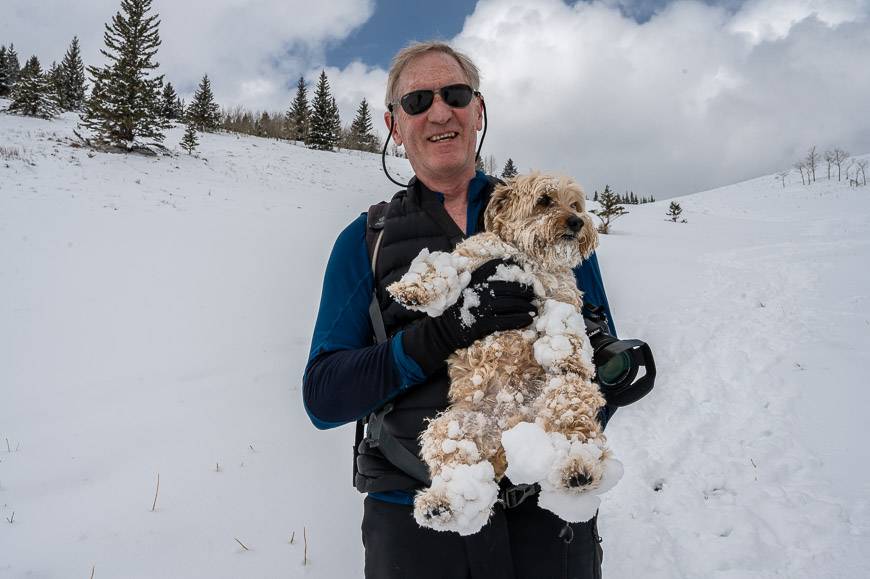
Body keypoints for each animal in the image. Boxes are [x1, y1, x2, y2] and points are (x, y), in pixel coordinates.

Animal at [390, 173, 628, 540]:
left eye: (575, 204)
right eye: (545, 200)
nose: (576, 221)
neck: (526, 255)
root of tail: (511, 426)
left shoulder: (560, 296)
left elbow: (563, 327)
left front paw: (567, 353)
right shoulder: (471, 259)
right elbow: (440, 268)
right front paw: (412, 291)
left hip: (565, 396)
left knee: (576, 435)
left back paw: (577, 471)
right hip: (451, 427)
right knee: (454, 465)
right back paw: (440, 504)